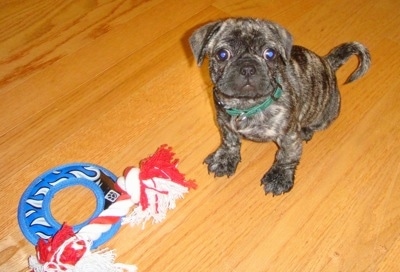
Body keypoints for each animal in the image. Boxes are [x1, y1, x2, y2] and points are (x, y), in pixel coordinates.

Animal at [189, 17, 370, 196]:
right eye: (222, 54)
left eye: (270, 54)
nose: (248, 68)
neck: (247, 105)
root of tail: (327, 63)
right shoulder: (225, 124)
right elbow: (230, 142)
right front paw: (224, 159)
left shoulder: (289, 136)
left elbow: (286, 157)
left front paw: (279, 177)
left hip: (326, 114)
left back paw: (306, 130)